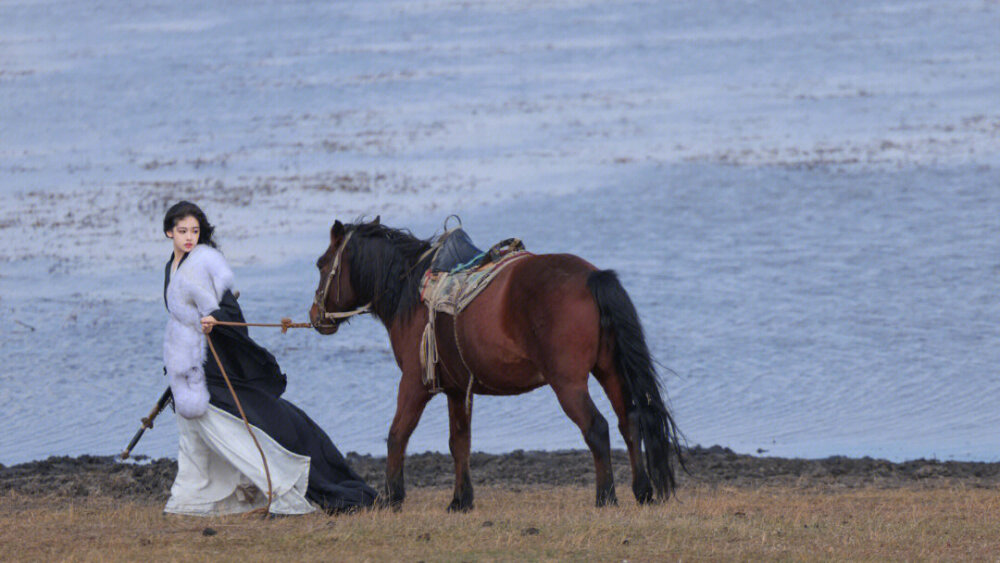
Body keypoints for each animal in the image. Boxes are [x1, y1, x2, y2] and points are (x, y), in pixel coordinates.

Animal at [308, 216, 684, 512]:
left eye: (322, 263)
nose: (315, 316)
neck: (411, 293)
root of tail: (593, 277)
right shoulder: (457, 390)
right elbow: (459, 442)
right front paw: (460, 501)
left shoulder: (415, 383)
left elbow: (397, 434)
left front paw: (392, 498)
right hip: (609, 371)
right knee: (629, 421)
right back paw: (643, 492)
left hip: (569, 384)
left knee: (597, 427)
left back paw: (606, 497)